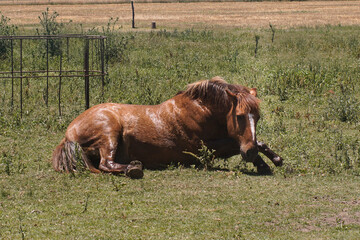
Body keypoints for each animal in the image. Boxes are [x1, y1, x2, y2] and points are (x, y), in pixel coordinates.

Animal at [51, 77, 282, 178]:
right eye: (239, 116)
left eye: (257, 117)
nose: (249, 153)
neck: (200, 110)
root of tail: (69, 132)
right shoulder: (203, 150)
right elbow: (237, 144)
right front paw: (266, 161)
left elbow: (257, 143)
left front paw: (271, 161)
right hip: (109, 132)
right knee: (105, 163)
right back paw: (133, 168)